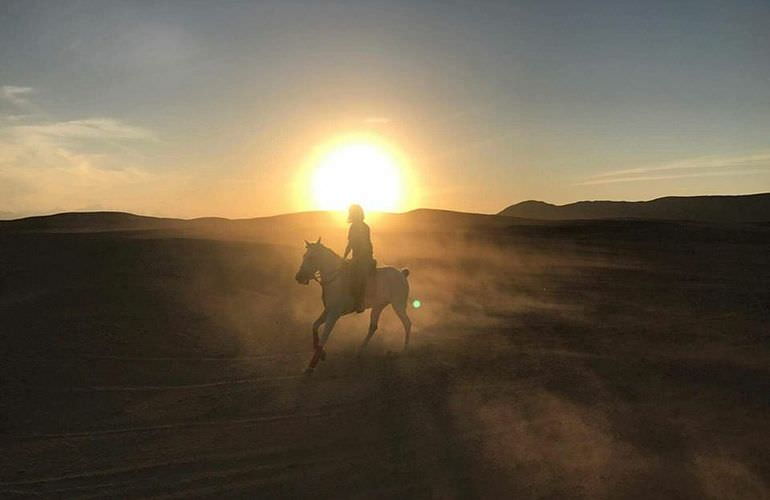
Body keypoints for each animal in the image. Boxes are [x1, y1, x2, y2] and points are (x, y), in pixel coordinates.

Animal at [294, 237, 412, 372]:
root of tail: (402, 273)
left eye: (312, 257)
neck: (335, 279)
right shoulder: (328, 311)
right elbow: (314, 326)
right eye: (304, 256)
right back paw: (359, 351)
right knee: (373, 327)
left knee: (407, 323)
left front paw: (311, 366)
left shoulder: (334, 314)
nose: (299, 277)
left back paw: (404, 351)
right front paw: (321, 354)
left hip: (398, 305)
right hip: (378, 306)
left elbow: (325, 336)